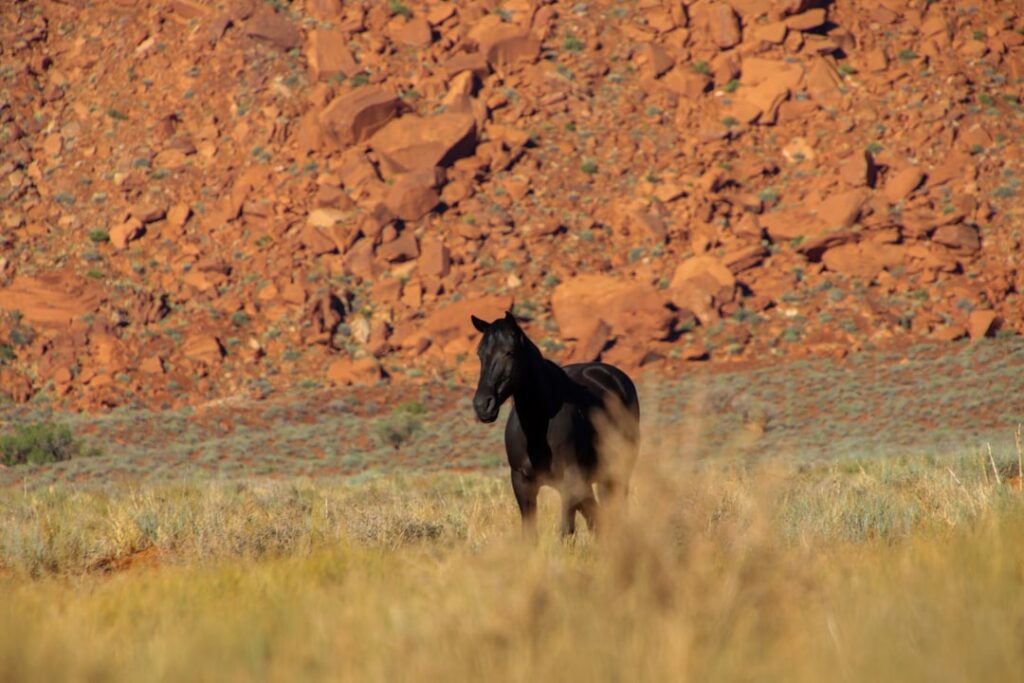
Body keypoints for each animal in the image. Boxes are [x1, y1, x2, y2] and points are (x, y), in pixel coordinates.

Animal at [470, 311, 640, 538]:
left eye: (509, 352)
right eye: (480, 354)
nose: (482, 405)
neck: (537, 425)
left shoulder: (569, 482)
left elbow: (566, 532)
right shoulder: (522, 483)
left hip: (618, 472)